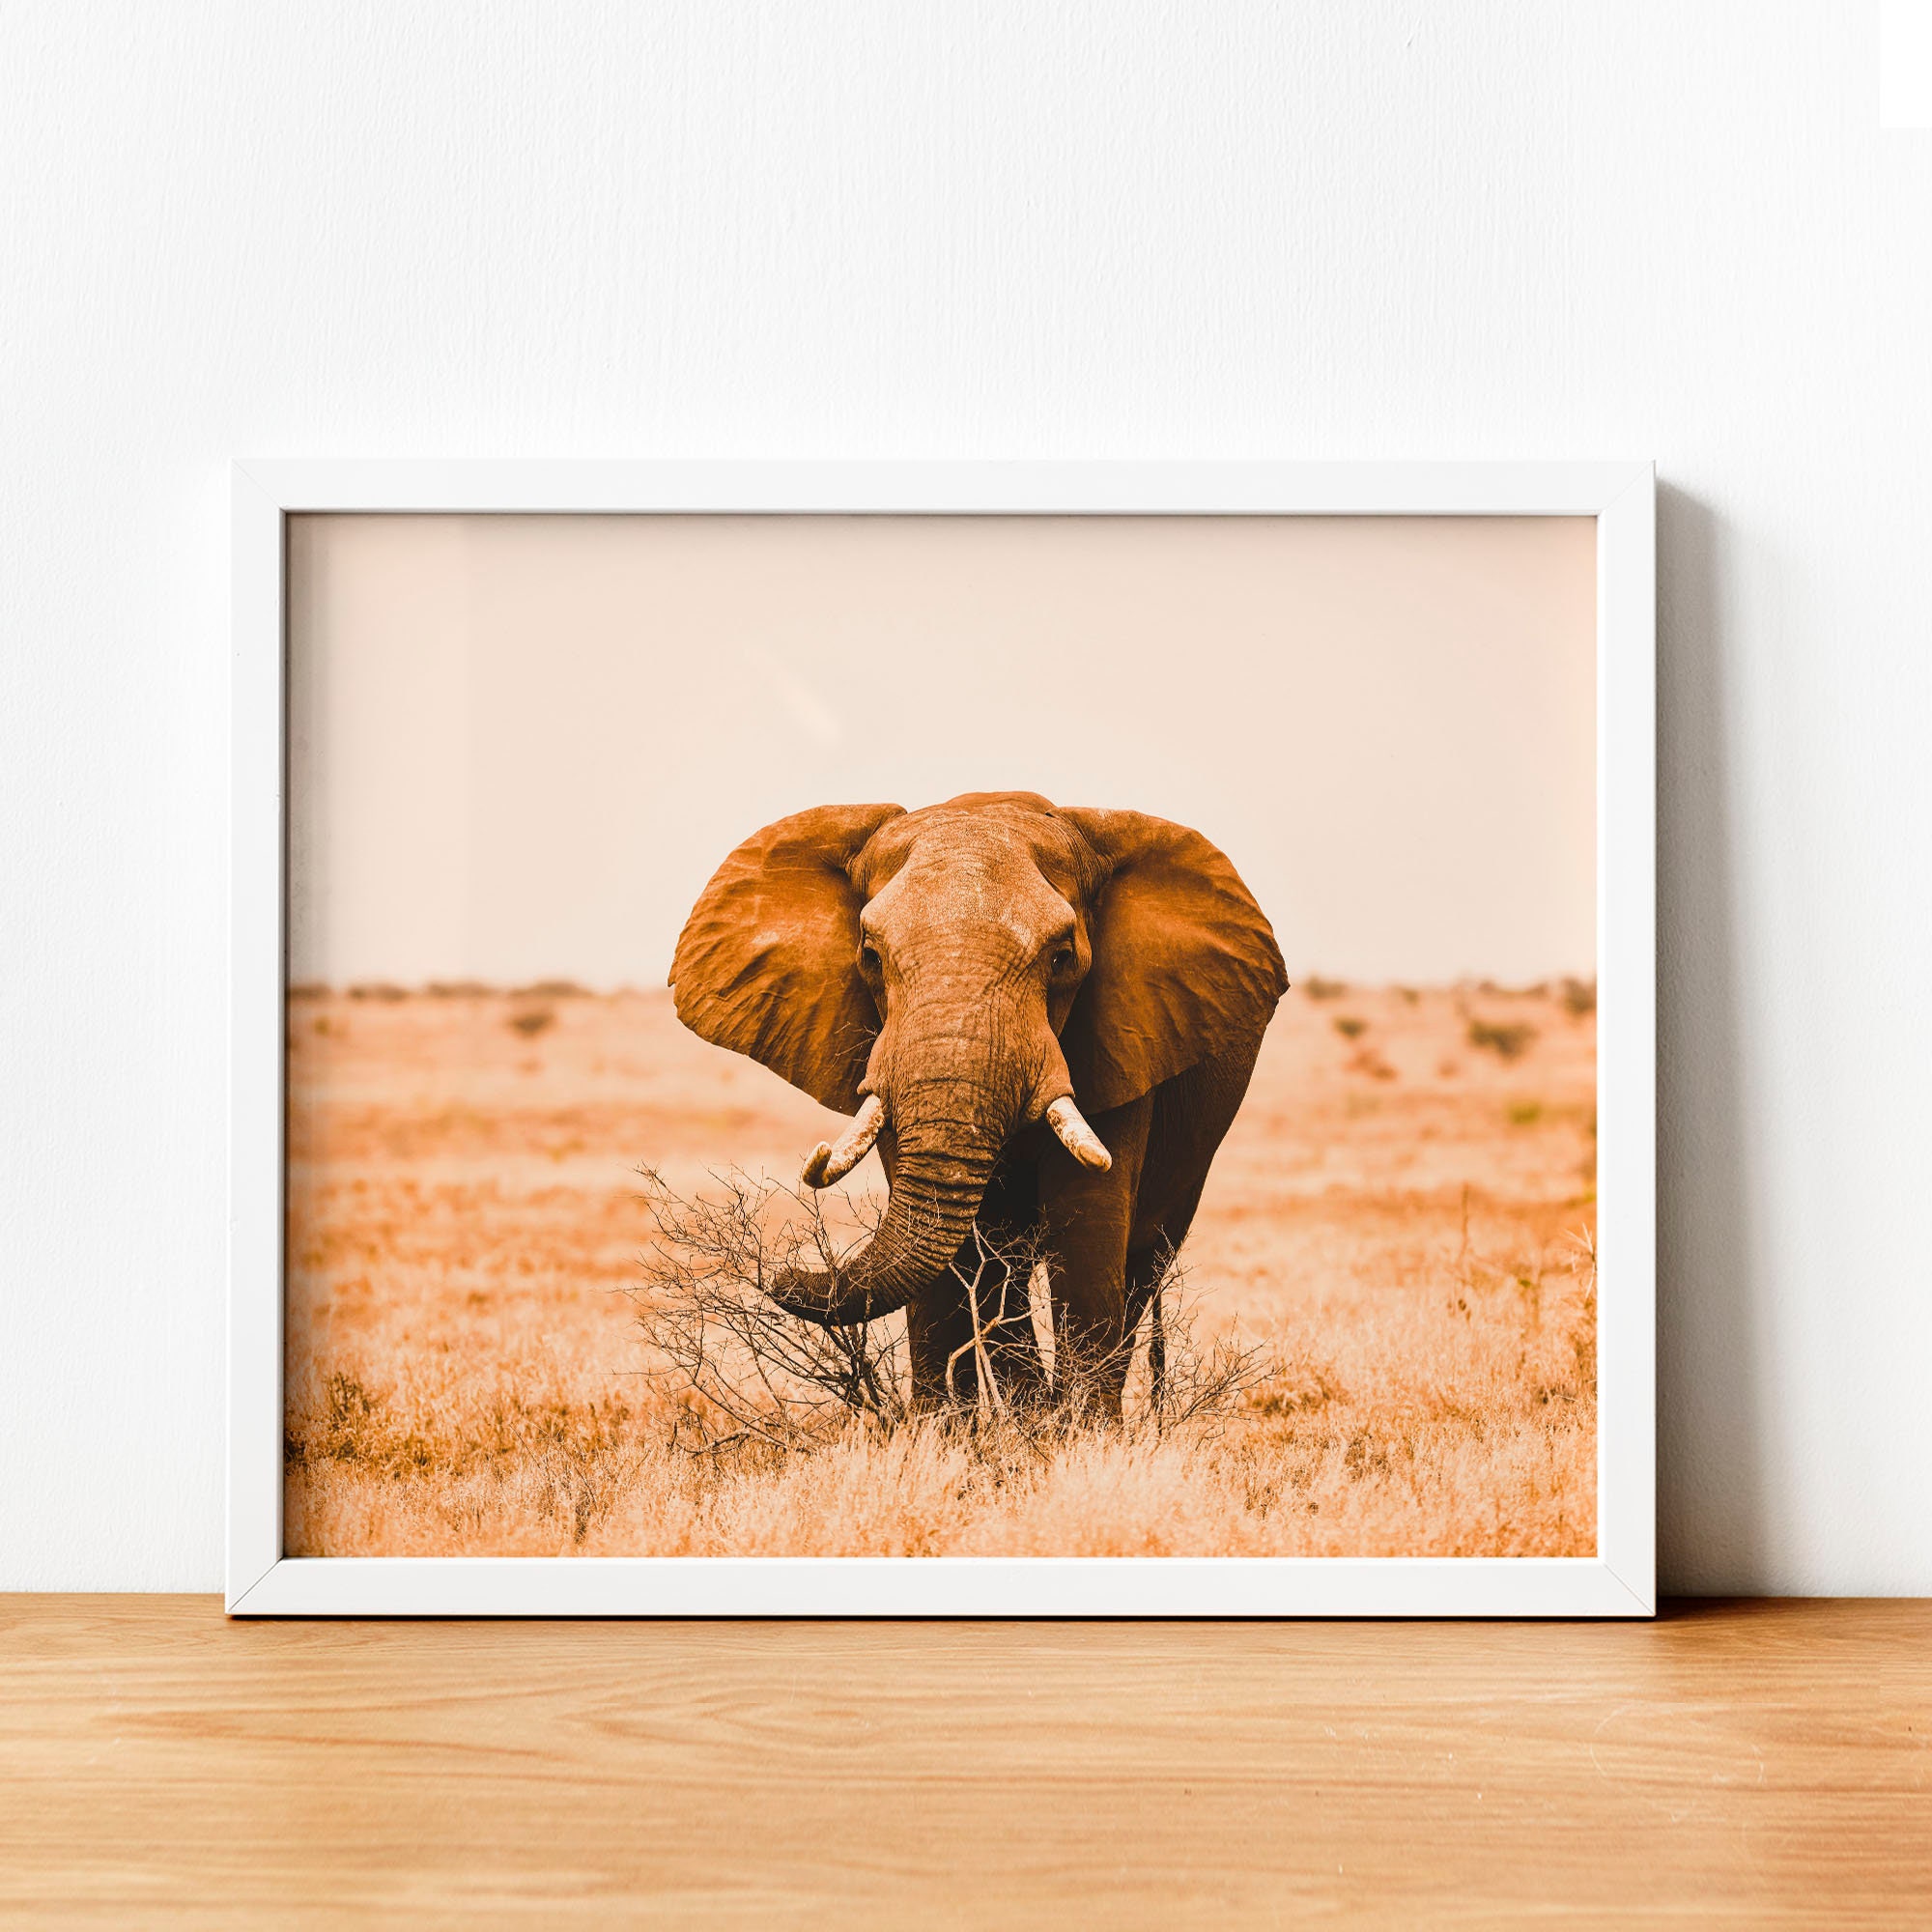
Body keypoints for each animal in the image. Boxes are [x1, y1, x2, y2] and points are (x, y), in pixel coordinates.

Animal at [668, 791, 1287, 1417]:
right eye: (870, 955)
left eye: (1063, 957)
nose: (778, 1274)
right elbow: (956, 1250)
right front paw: (949, 1433)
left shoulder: (1125, 1035)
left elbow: (1087, 1221)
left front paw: (1078, 1434)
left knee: (1141, 1260)